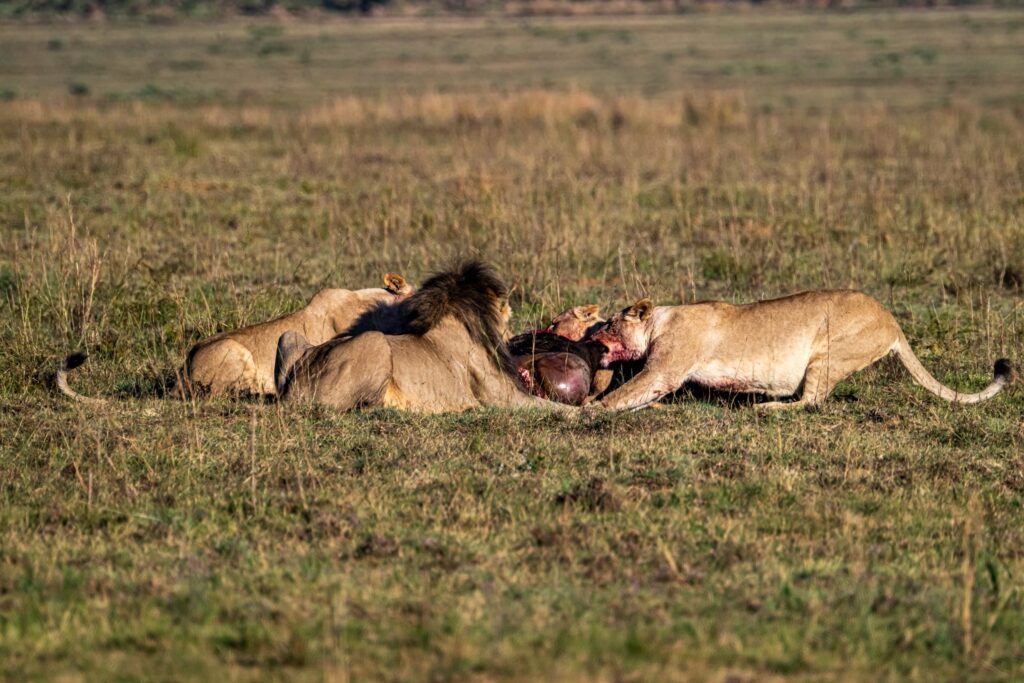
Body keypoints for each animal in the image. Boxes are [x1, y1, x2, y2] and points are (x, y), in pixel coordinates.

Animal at [276, 260, 565, 411]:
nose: (512, 338)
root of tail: (294, 392)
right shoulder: (503, 398)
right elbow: (559, 408)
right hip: (375, 340)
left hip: (289, 337)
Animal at [589, 290, 1011, 411]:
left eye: (608, 324)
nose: (592, 337)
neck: (660, 321)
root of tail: (891, 320)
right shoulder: (663, 377)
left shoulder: (664, 370)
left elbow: (622, 394)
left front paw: (587, 411)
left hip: (827, 355)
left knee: (810, 402)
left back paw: (768, 408)